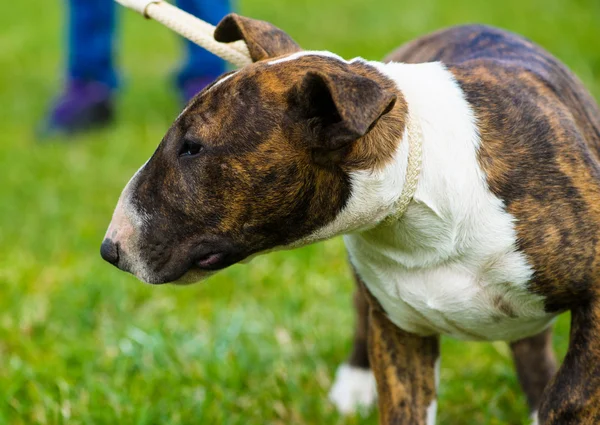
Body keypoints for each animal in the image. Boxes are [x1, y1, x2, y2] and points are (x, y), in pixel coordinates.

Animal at [101, 14, 600, 424]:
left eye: (193, 147)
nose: (110, 250)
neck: (416, 187)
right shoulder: (401, 331)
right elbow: (402, 406)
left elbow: (569, 398)